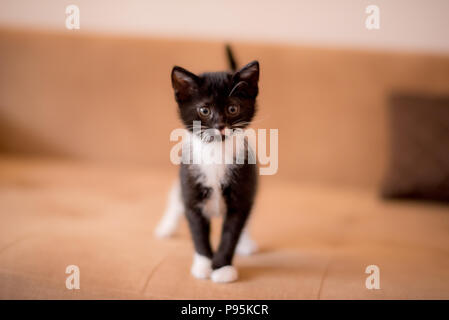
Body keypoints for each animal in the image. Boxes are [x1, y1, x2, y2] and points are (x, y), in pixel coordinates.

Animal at [155, 45, 258, 282]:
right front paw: (203, 265)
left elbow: (232, 231)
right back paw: (166, 226)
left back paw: (246, 242)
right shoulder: (191, 187)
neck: (215, 152)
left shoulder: (242, 188)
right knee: (175, 200)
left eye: (232, 109)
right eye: (204, 110)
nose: (220, 125)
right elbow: (198, 230)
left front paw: (222, 268)